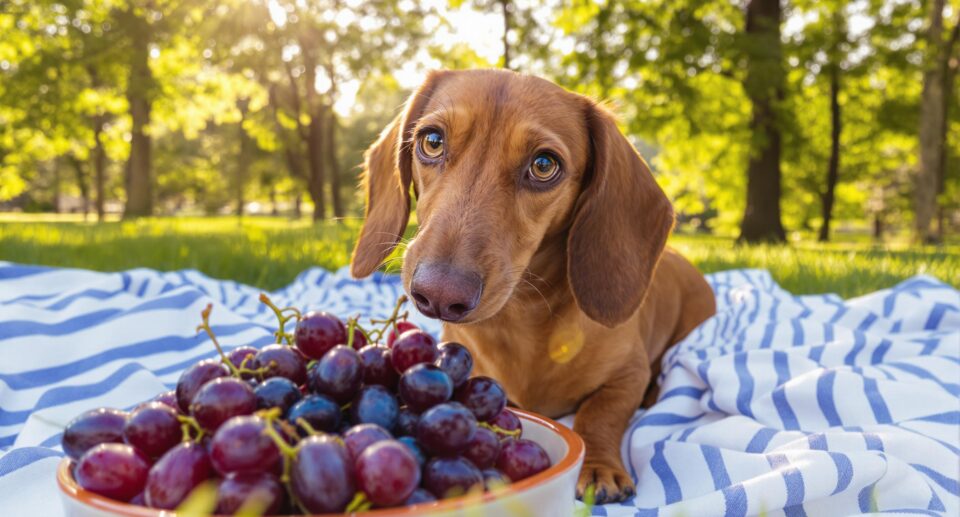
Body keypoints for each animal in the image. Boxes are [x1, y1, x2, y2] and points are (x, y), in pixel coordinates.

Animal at [348, 70, 716, 502]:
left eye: (543, 165)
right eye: (432, 141)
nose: (438, 295)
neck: (521, 318)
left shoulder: (629, 373)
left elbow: (599, 414)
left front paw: (599, 468)